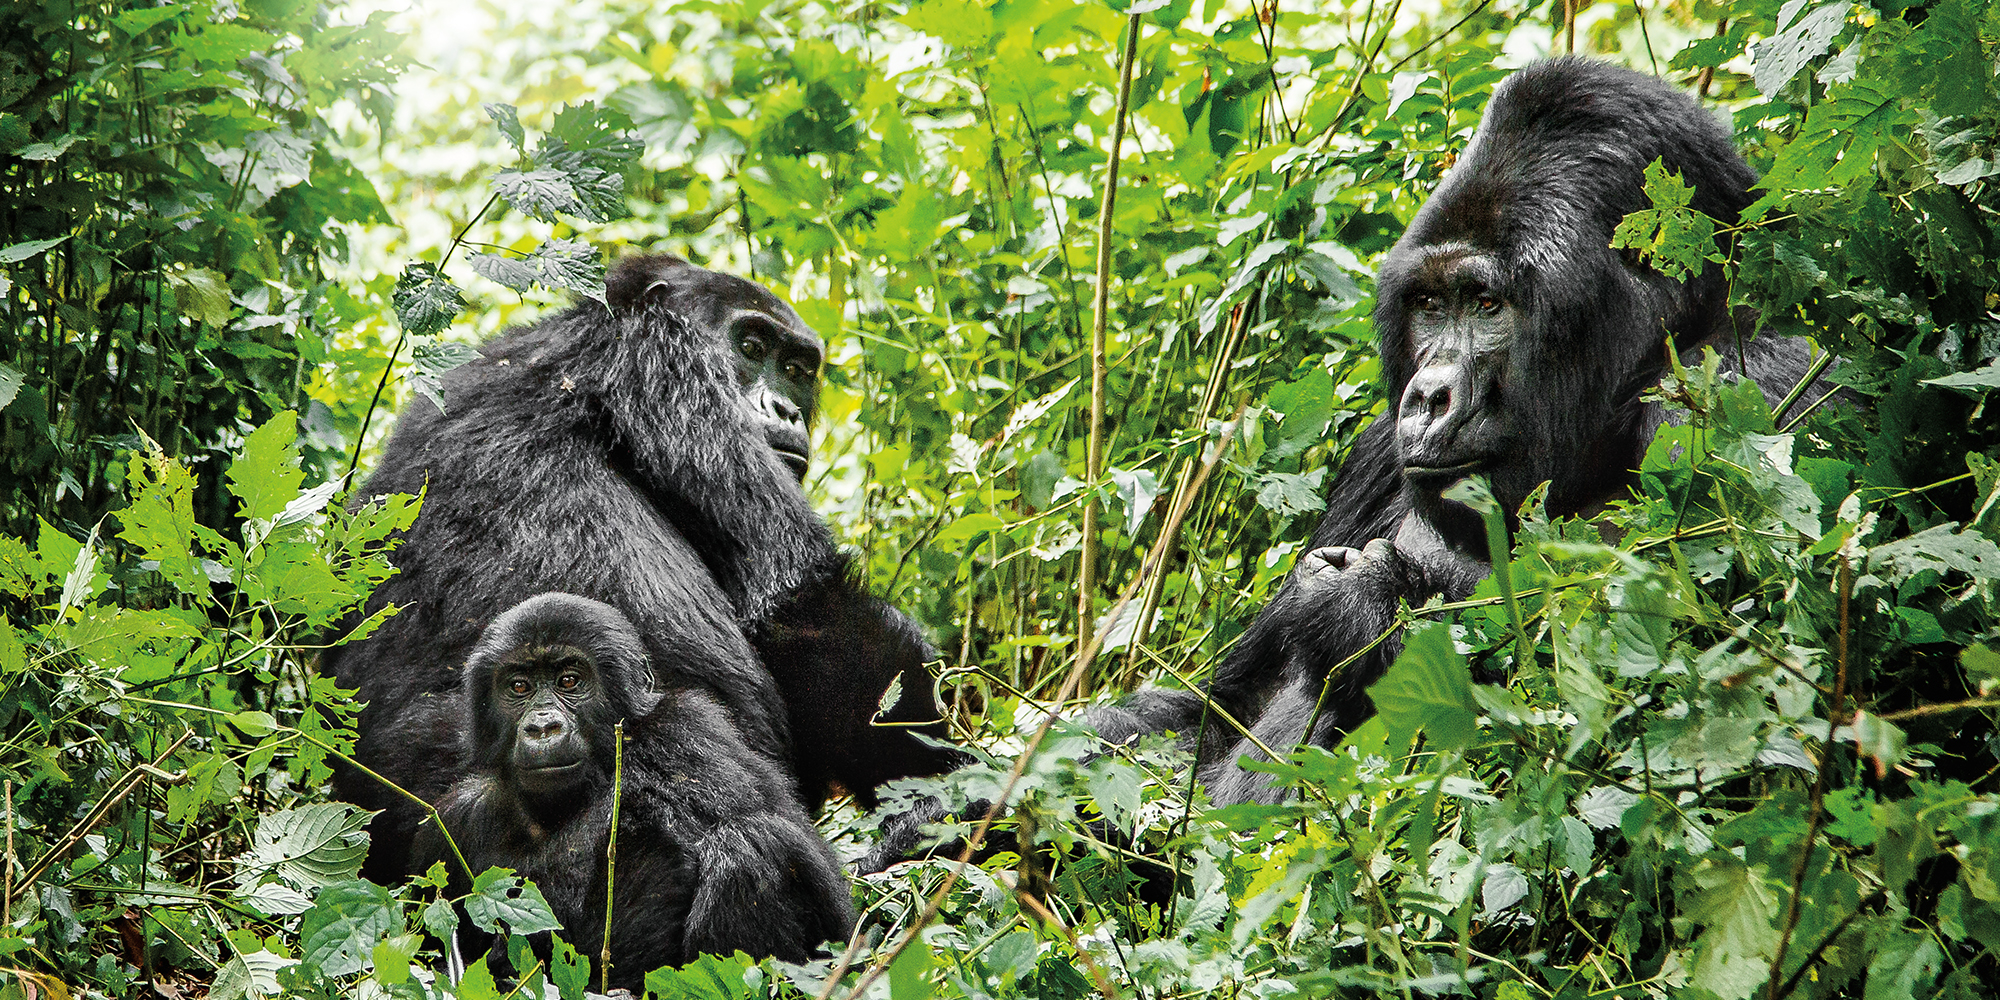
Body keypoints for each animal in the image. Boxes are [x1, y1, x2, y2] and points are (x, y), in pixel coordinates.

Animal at [328, 252, 968, 884]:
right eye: (751, 347)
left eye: (795, 368)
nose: (785, 408)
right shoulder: (665, 361)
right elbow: (804, 603)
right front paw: (951, 794)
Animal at [418, 592, 856, 984]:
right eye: (519, 687)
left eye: (570, 681)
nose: (543, 727)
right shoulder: (456, 820)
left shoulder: (686, 731)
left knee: (749, 845)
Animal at [1088, 56, 1832, 804]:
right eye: (1429, 304)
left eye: (1487, 304)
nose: (1426, 397)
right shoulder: (1376, 456)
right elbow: (1217, 709)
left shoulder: (1751, 387)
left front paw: (1360, 608)